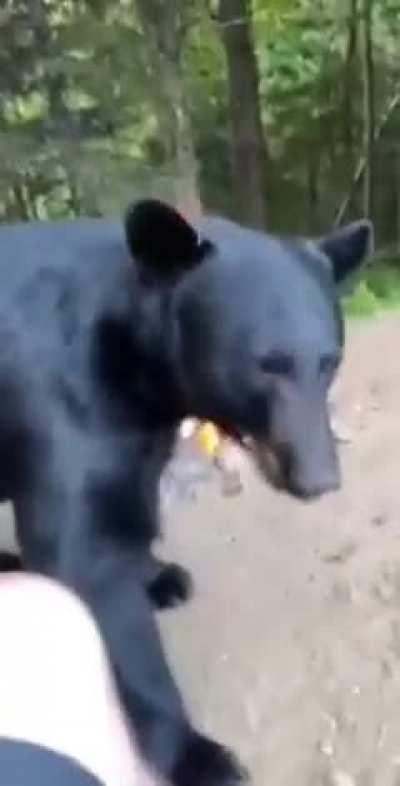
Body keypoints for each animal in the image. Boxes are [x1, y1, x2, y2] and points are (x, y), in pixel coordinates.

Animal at [0, 200, 372, 784]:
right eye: (266, 365)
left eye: (330, 360)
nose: (318, 478)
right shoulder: (61, 404)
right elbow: (90, 566)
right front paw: (200, 754)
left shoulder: (137, 434)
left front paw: (158, 574)